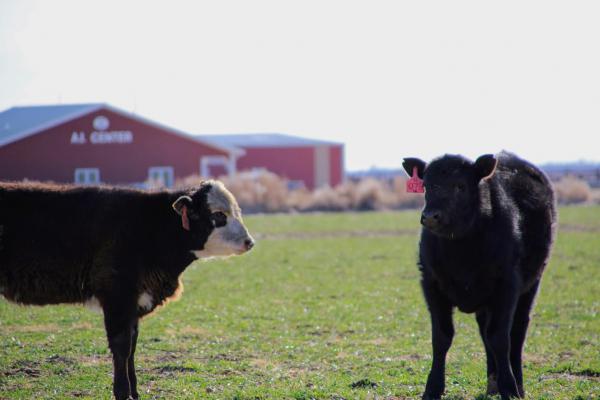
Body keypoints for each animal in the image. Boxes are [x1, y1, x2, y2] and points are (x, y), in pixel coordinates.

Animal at [404, 152, 556, 398]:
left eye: (460, 185)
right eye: (426, 185)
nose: (430, 217)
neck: (461, 251)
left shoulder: (507, 286)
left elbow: (501, 338)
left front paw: (509, 387)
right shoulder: (431, 284)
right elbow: (441, 337)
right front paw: (433, 388)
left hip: (531, 286)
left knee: (517, 331)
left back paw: (518, 384)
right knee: (485, 331)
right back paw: (492, 383)